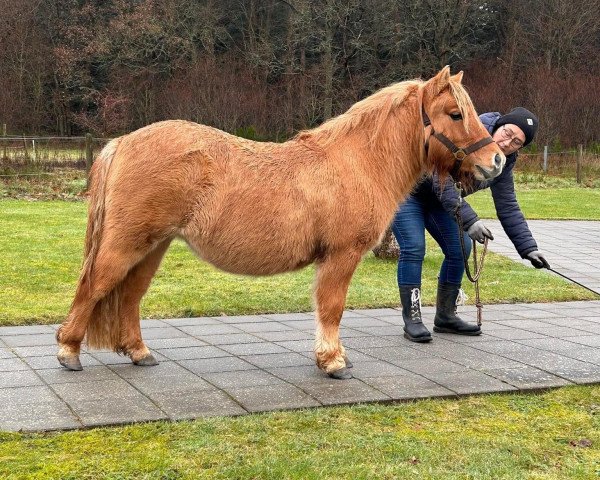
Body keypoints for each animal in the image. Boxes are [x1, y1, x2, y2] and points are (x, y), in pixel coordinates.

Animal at [57, 66, 506, 378]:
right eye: (454, 114)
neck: (356, 162)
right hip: (127, 243)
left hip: (153, 246)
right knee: (95, 286)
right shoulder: (341, 256)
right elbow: (332, 308)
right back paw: (68, 352)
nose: (497, 161)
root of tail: (122, 142)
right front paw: (333, 361)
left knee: (130, 295)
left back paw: (139, 353)